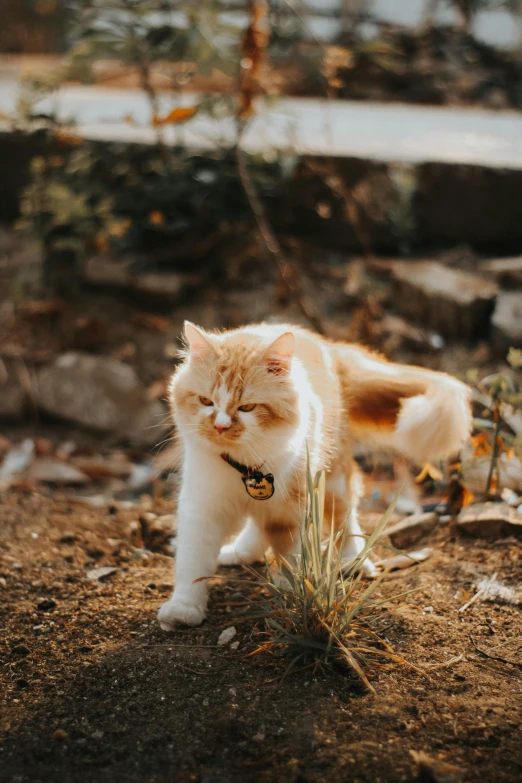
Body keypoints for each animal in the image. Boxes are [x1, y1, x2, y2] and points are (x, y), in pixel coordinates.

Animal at [156, 324, 470, 632]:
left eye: (246, 407)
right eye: (206, 401)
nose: (220, 427)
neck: (244, 466)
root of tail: (324, 342)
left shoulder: (292, 506)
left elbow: (290, 554)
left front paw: (292, 590)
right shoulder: (202, 507)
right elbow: (193, 563)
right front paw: (184, 608)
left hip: (333, 477)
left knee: (344, 516)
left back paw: (352, 561)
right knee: (259, 524)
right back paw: (241, 551)